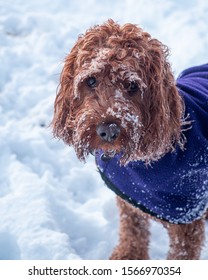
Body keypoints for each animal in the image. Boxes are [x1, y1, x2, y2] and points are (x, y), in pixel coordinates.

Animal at [51, 19, 208, 260]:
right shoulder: (129, 198)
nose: (108, 130)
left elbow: (181, 254)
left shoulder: (187, 220)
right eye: (91, 80)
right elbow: (133, 228)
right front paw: (128, 255)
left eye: (133, 86)